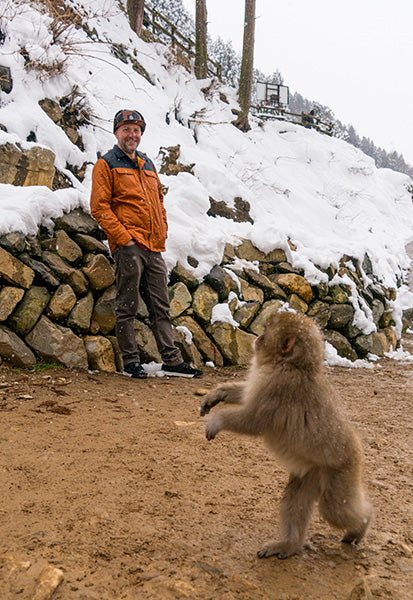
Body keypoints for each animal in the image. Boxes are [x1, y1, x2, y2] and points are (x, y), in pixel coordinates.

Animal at [200, 312, 370, 560]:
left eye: (266, 332)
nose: (257, 338)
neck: (290, 364)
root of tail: (358, 449)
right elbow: (246, 396)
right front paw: (217, 394)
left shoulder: (279, 387)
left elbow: (254, 421)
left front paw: (217, 420)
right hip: (312, 471)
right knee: (295, 497)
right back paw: (290, 545)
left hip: (343, 471)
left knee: (334, 509)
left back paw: (363, 524)